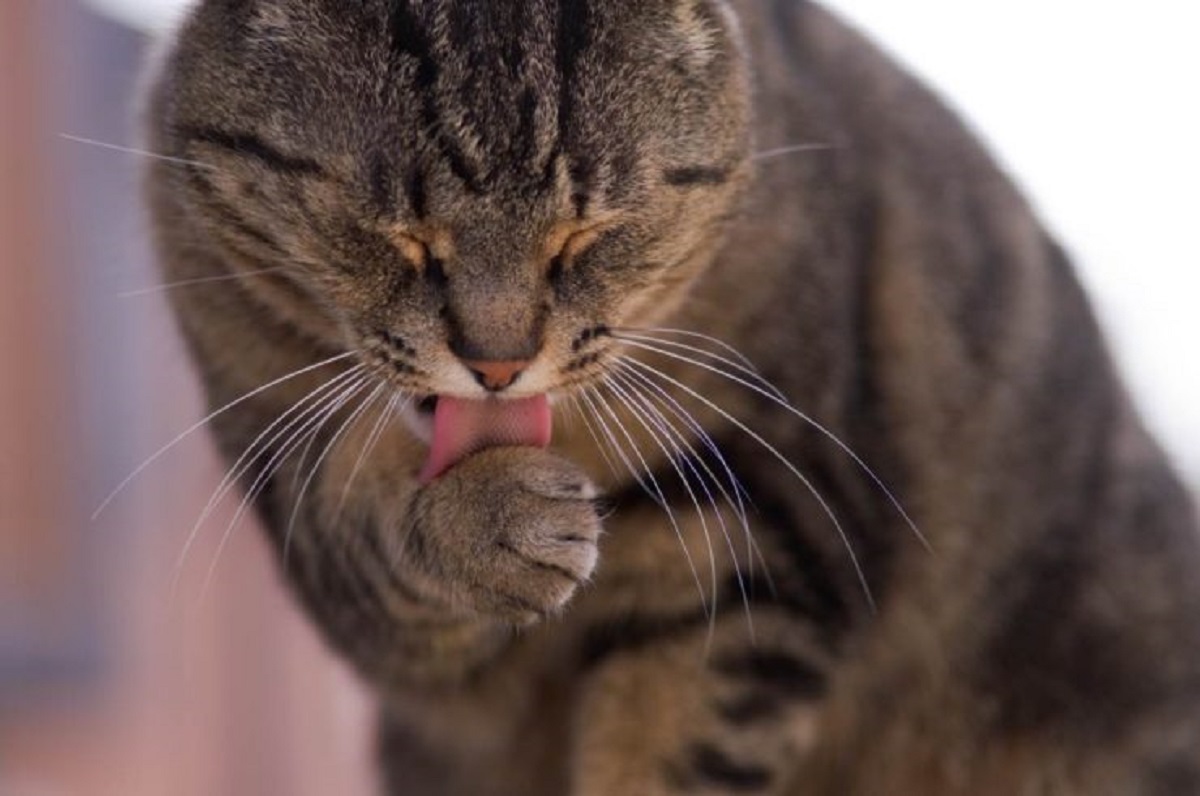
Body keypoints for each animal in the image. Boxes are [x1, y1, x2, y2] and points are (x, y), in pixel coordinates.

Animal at [142, 1, 1200, 796]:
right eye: (402, 237)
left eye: (586, 235)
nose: (497, 365)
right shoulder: (299, 496)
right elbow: (373, 544)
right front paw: (487, 520)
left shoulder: (760, 526)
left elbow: (675, 745)